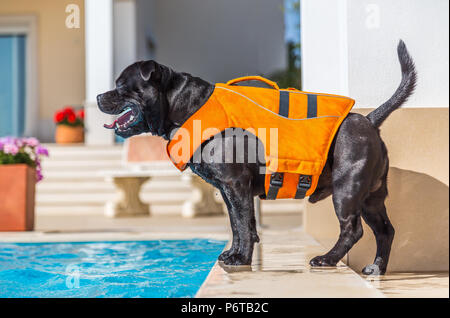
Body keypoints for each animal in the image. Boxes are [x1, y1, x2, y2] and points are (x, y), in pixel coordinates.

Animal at [96, 40, 416, 276]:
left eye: (121, 85)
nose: (98, 96)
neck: (185, 106)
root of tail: (369, 119)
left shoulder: (235, 184)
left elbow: (242, 225)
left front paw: (241, 260)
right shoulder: (230, 191)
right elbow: (240, 225)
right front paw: (234, 254)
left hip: (347, 190)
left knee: (353, 229)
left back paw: (326, 259)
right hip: (371, 197)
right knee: (385, 231)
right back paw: (377, 268)